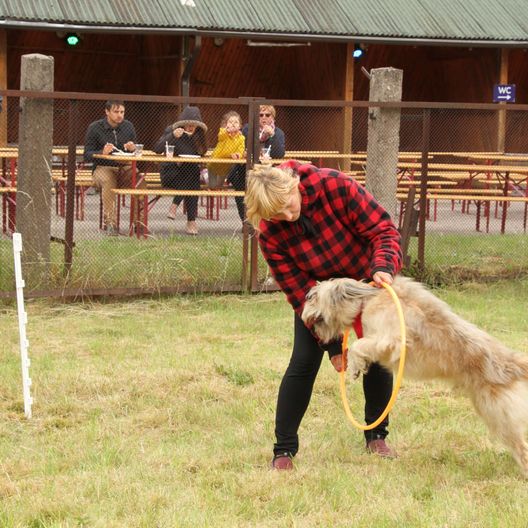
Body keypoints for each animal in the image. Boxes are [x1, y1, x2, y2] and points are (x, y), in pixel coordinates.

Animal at [304, 274, 528, 476]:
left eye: (314, 297)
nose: (304, 306)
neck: (365, 302)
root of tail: (512, 364)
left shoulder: (391, 340)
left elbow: (359, 345)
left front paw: (355, 366)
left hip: (500, 416)